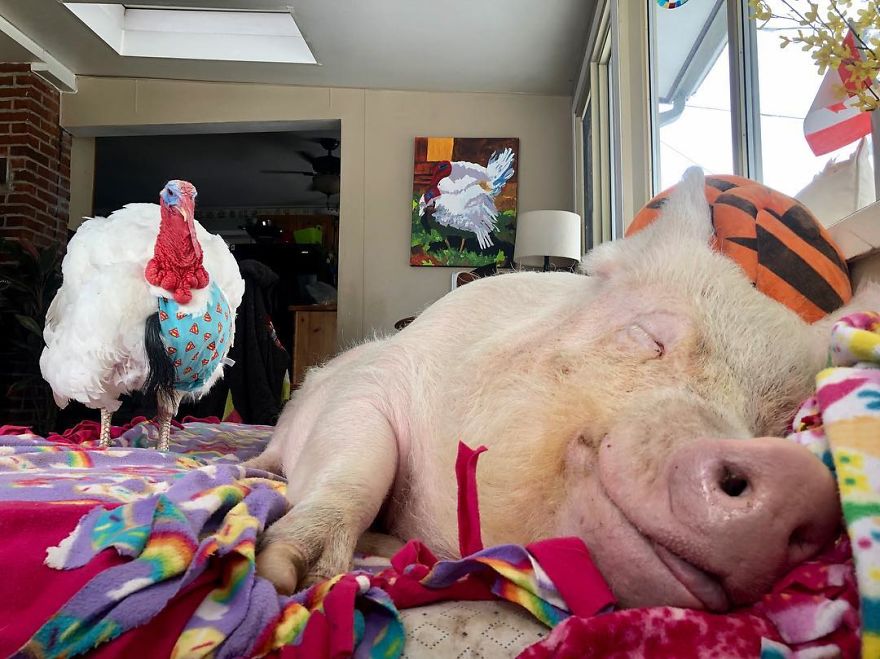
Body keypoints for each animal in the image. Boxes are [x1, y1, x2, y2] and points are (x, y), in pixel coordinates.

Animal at [247, 169, 877, 612]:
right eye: (649, 337)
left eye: (779, 422)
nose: (794, 478)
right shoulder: (378, 380)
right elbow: (361, 463)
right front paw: (285, 574)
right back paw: (256, 472)